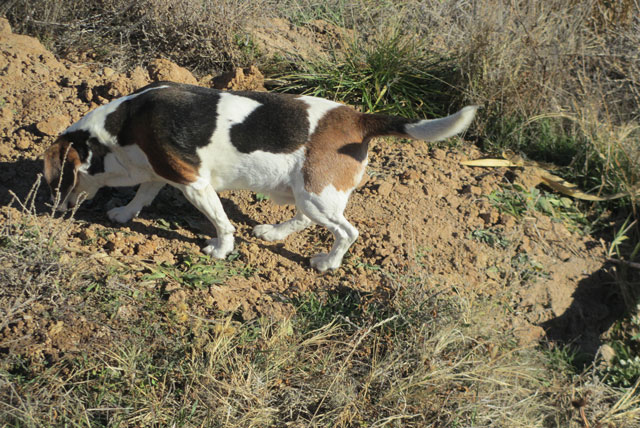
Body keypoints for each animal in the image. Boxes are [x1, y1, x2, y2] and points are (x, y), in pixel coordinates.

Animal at [43, 81, 477, 271]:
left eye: (59, 179)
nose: (52, 211)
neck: (119, 132)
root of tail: (358, 118)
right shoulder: (163, 169)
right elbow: (143, 193)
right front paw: (124, 213)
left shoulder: (194, 182)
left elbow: (221, 222)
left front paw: (221, 250)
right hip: (306, 195)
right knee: (304, 219)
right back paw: (275, 233)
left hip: (316, 195)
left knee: (347, 232)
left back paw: (328, 262)